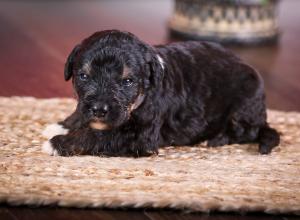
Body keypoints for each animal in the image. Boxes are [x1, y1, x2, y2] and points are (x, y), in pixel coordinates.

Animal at [41, 29, 278, 156]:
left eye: (128, 81)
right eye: (83, 76)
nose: (99, 110)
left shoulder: (140, 137)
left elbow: (99, 135)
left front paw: (58, 143)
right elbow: (81, 113)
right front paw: (63, 125)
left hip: (244, 103)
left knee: (247, 132)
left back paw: (216, 139)